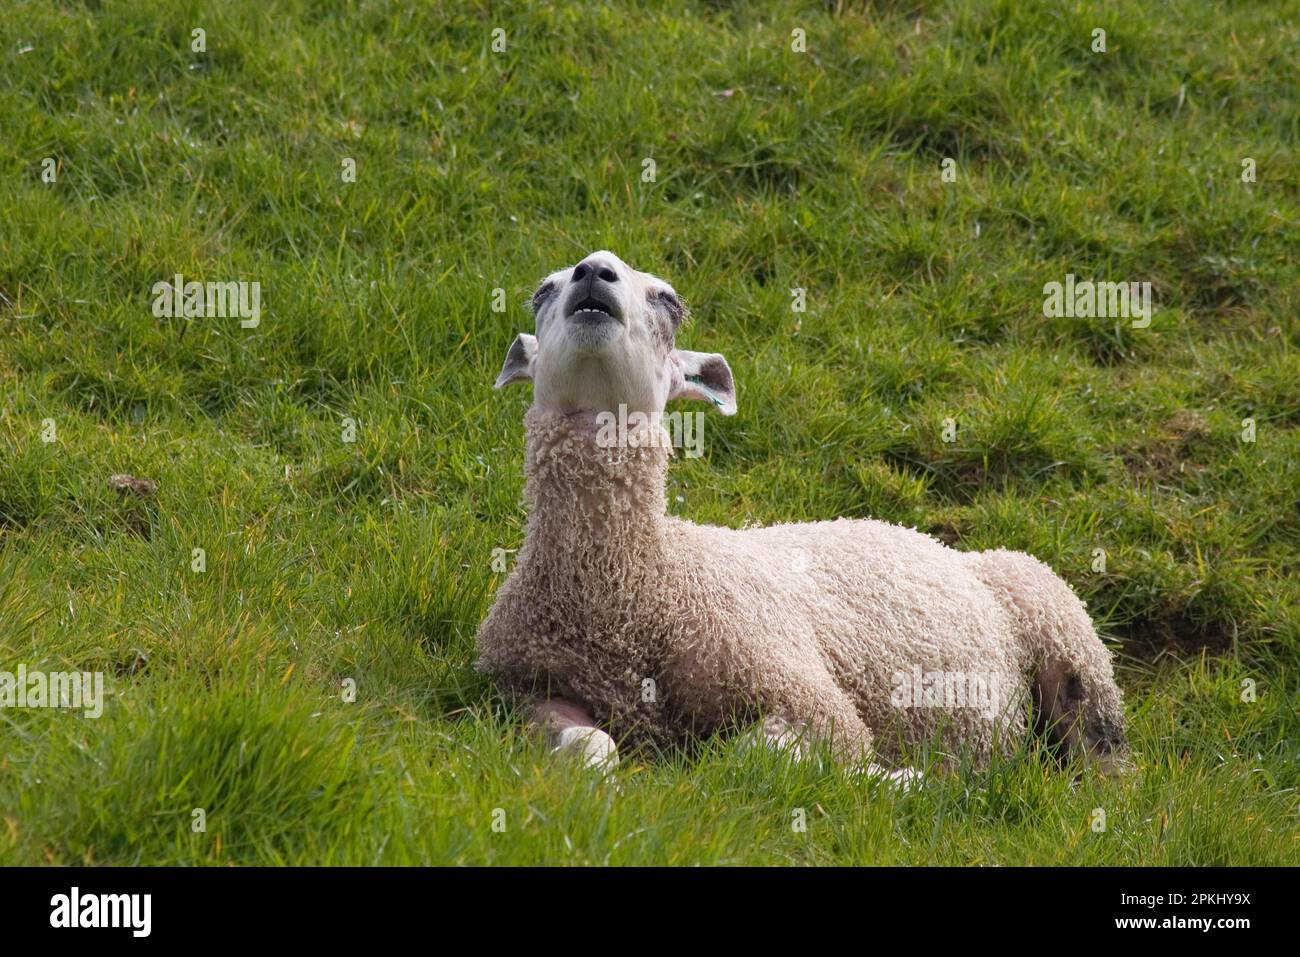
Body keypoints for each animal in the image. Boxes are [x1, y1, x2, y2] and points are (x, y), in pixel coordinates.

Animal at [478, 252, 1128, 780]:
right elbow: (589, 750)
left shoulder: (809, 696)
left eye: (669, 301)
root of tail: (939, 544)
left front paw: (899, 779)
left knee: (1103, 748)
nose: (594, 272)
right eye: (542, 290)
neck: (636, 582)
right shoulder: (521, 692)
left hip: (1063, 628)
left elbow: (753, 756)